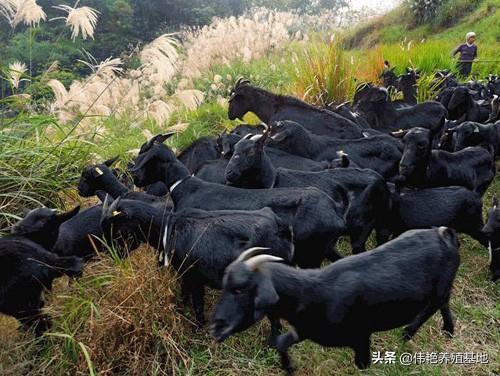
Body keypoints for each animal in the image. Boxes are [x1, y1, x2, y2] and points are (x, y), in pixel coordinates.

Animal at [128, 137, 348, 268]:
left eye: (146, 159)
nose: (135, 178)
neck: (185, 186)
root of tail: (336, 209)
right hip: (325, 248)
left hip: (311, 254)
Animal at [211, 228, 460, 372]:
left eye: (240, 289)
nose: (216, 326)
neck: (312, 291)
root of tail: (444, 234)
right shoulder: (306, 329)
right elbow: (282, 343)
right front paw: (289, 367)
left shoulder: (360, 336)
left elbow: (362, 365)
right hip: (440, 287)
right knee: (444, 302)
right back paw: (447, 330)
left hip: (438, 288)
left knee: (435, 305)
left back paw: (408, 332)